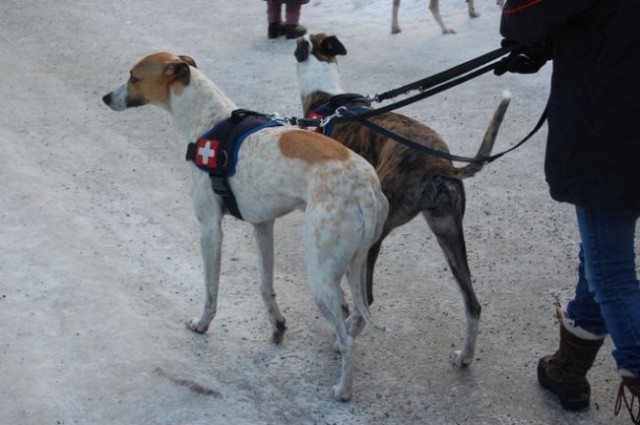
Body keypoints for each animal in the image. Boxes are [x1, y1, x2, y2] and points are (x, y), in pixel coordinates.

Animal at [102, 51, 388, 400]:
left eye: (133, 77)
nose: (106, 98)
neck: (210, 120)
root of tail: (365, 189)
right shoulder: (263, 225)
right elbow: (265, 286)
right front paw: (277, 326)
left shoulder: (210, 229)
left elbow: (210, 289)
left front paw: (202, 324)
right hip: (355, 264)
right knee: (358, 312)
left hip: (322, 273)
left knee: (348, 339)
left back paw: (343, 390)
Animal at [294, 33, 510, 366]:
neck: (327, 97)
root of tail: (438, 164)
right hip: (448, 230)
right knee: (472, 302)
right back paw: (465, 355)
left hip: (377, 233)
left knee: (367, 298)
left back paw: (344, 339)